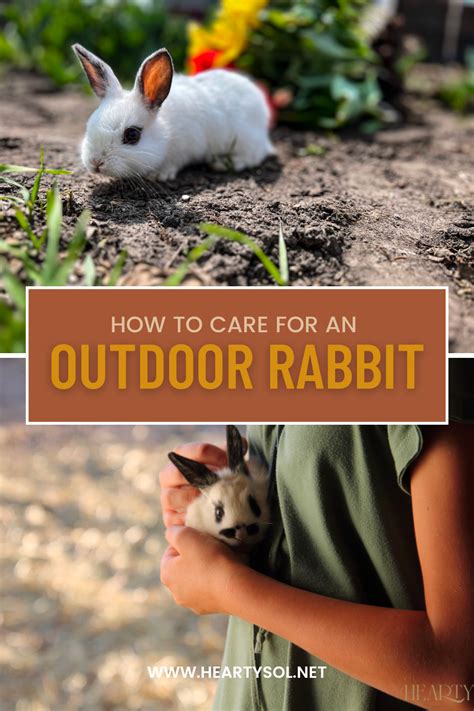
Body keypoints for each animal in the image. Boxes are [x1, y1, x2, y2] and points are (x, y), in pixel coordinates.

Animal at [72, 44, 275, 181]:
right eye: (89, 125)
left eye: (132, 135)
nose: (96, 162)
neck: (166, 132)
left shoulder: (184, 150)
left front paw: (159, 175)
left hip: (245, 140)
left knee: (256, 155)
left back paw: (223, 163)